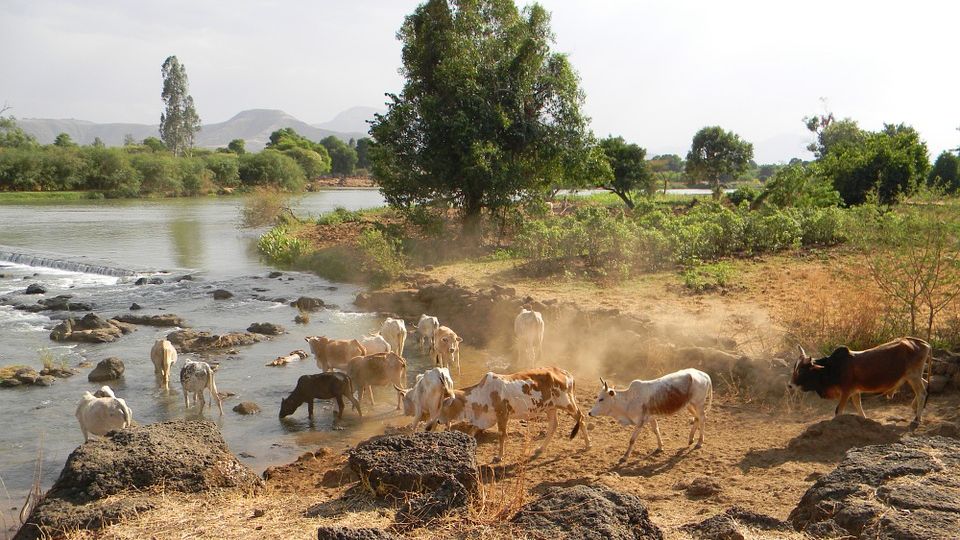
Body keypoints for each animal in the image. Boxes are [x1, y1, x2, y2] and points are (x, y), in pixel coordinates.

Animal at [426, 368, 588, 464]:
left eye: (443, 406)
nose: (438, 421)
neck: (482, 394)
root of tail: (566, 374)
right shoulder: (485, 419)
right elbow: (471, 432)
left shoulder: (502, 415)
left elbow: (502, 435)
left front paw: (499, 457)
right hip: (550, 407)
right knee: (554, 425)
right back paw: (540, 449)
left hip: (567, 403)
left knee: (581, 418)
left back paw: (588, 444)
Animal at [584, 370, 712, 462]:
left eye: (601, 399)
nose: (590, 413)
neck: (629, 400)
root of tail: (704, 375)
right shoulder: (651, 418)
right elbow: (656, 430)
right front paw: (660, 447)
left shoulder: (640, 422)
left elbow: (632, 440)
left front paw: (625, 457)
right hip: (689, 405)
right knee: (697, 418)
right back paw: (691, 439)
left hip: (698, 404)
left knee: (702, 418)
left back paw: (699, 442)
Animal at [788, 338, 928, 426]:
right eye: (794, 368)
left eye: (802, 371)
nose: (790, 386)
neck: (831, 368)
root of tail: (923, 343)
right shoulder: (855, 391)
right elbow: (858, 407)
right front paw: (864, 421)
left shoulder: (846, 392)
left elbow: (838, 411)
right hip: (913, 376)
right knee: (925, 384)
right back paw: (915, 408)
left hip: (913, 376)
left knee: (921, 392)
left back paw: (917, 419)